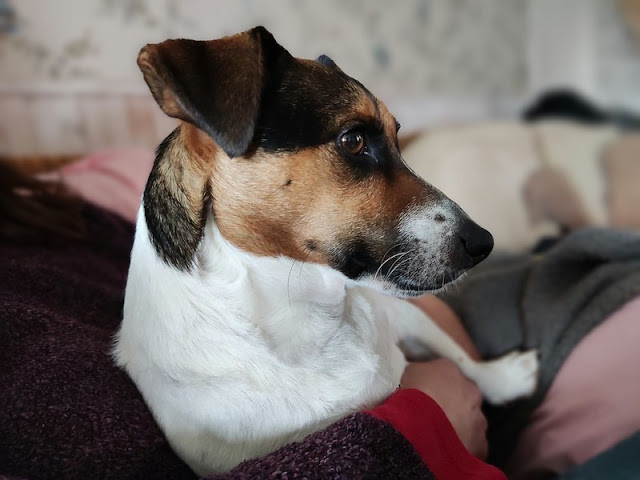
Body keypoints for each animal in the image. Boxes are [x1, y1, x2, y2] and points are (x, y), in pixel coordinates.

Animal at [114, 26, 538, 476]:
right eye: (353, 139)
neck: (312, 311)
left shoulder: (401, 314)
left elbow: (460, 358)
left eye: (398, 139)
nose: (483, 242)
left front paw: (504, 378)